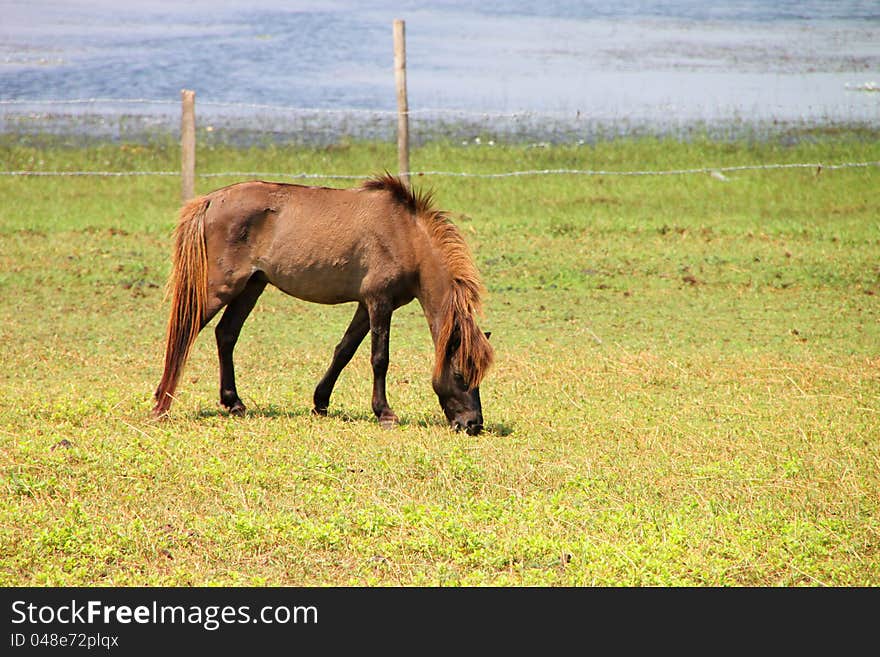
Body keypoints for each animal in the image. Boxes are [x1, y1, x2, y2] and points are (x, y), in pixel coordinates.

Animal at [152, 172, 496, 434]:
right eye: (459, 375)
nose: (473, 424)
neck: (405, 235)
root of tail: (210, 200)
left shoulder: (365, 305)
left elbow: (344, 351)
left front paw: (320, 402)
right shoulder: (379, 302)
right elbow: (379, 359)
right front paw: (384, 413)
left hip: (251, 287)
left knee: (226, 335)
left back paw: (233, 402)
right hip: (220, 288)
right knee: (184, 333)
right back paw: (161, 404)